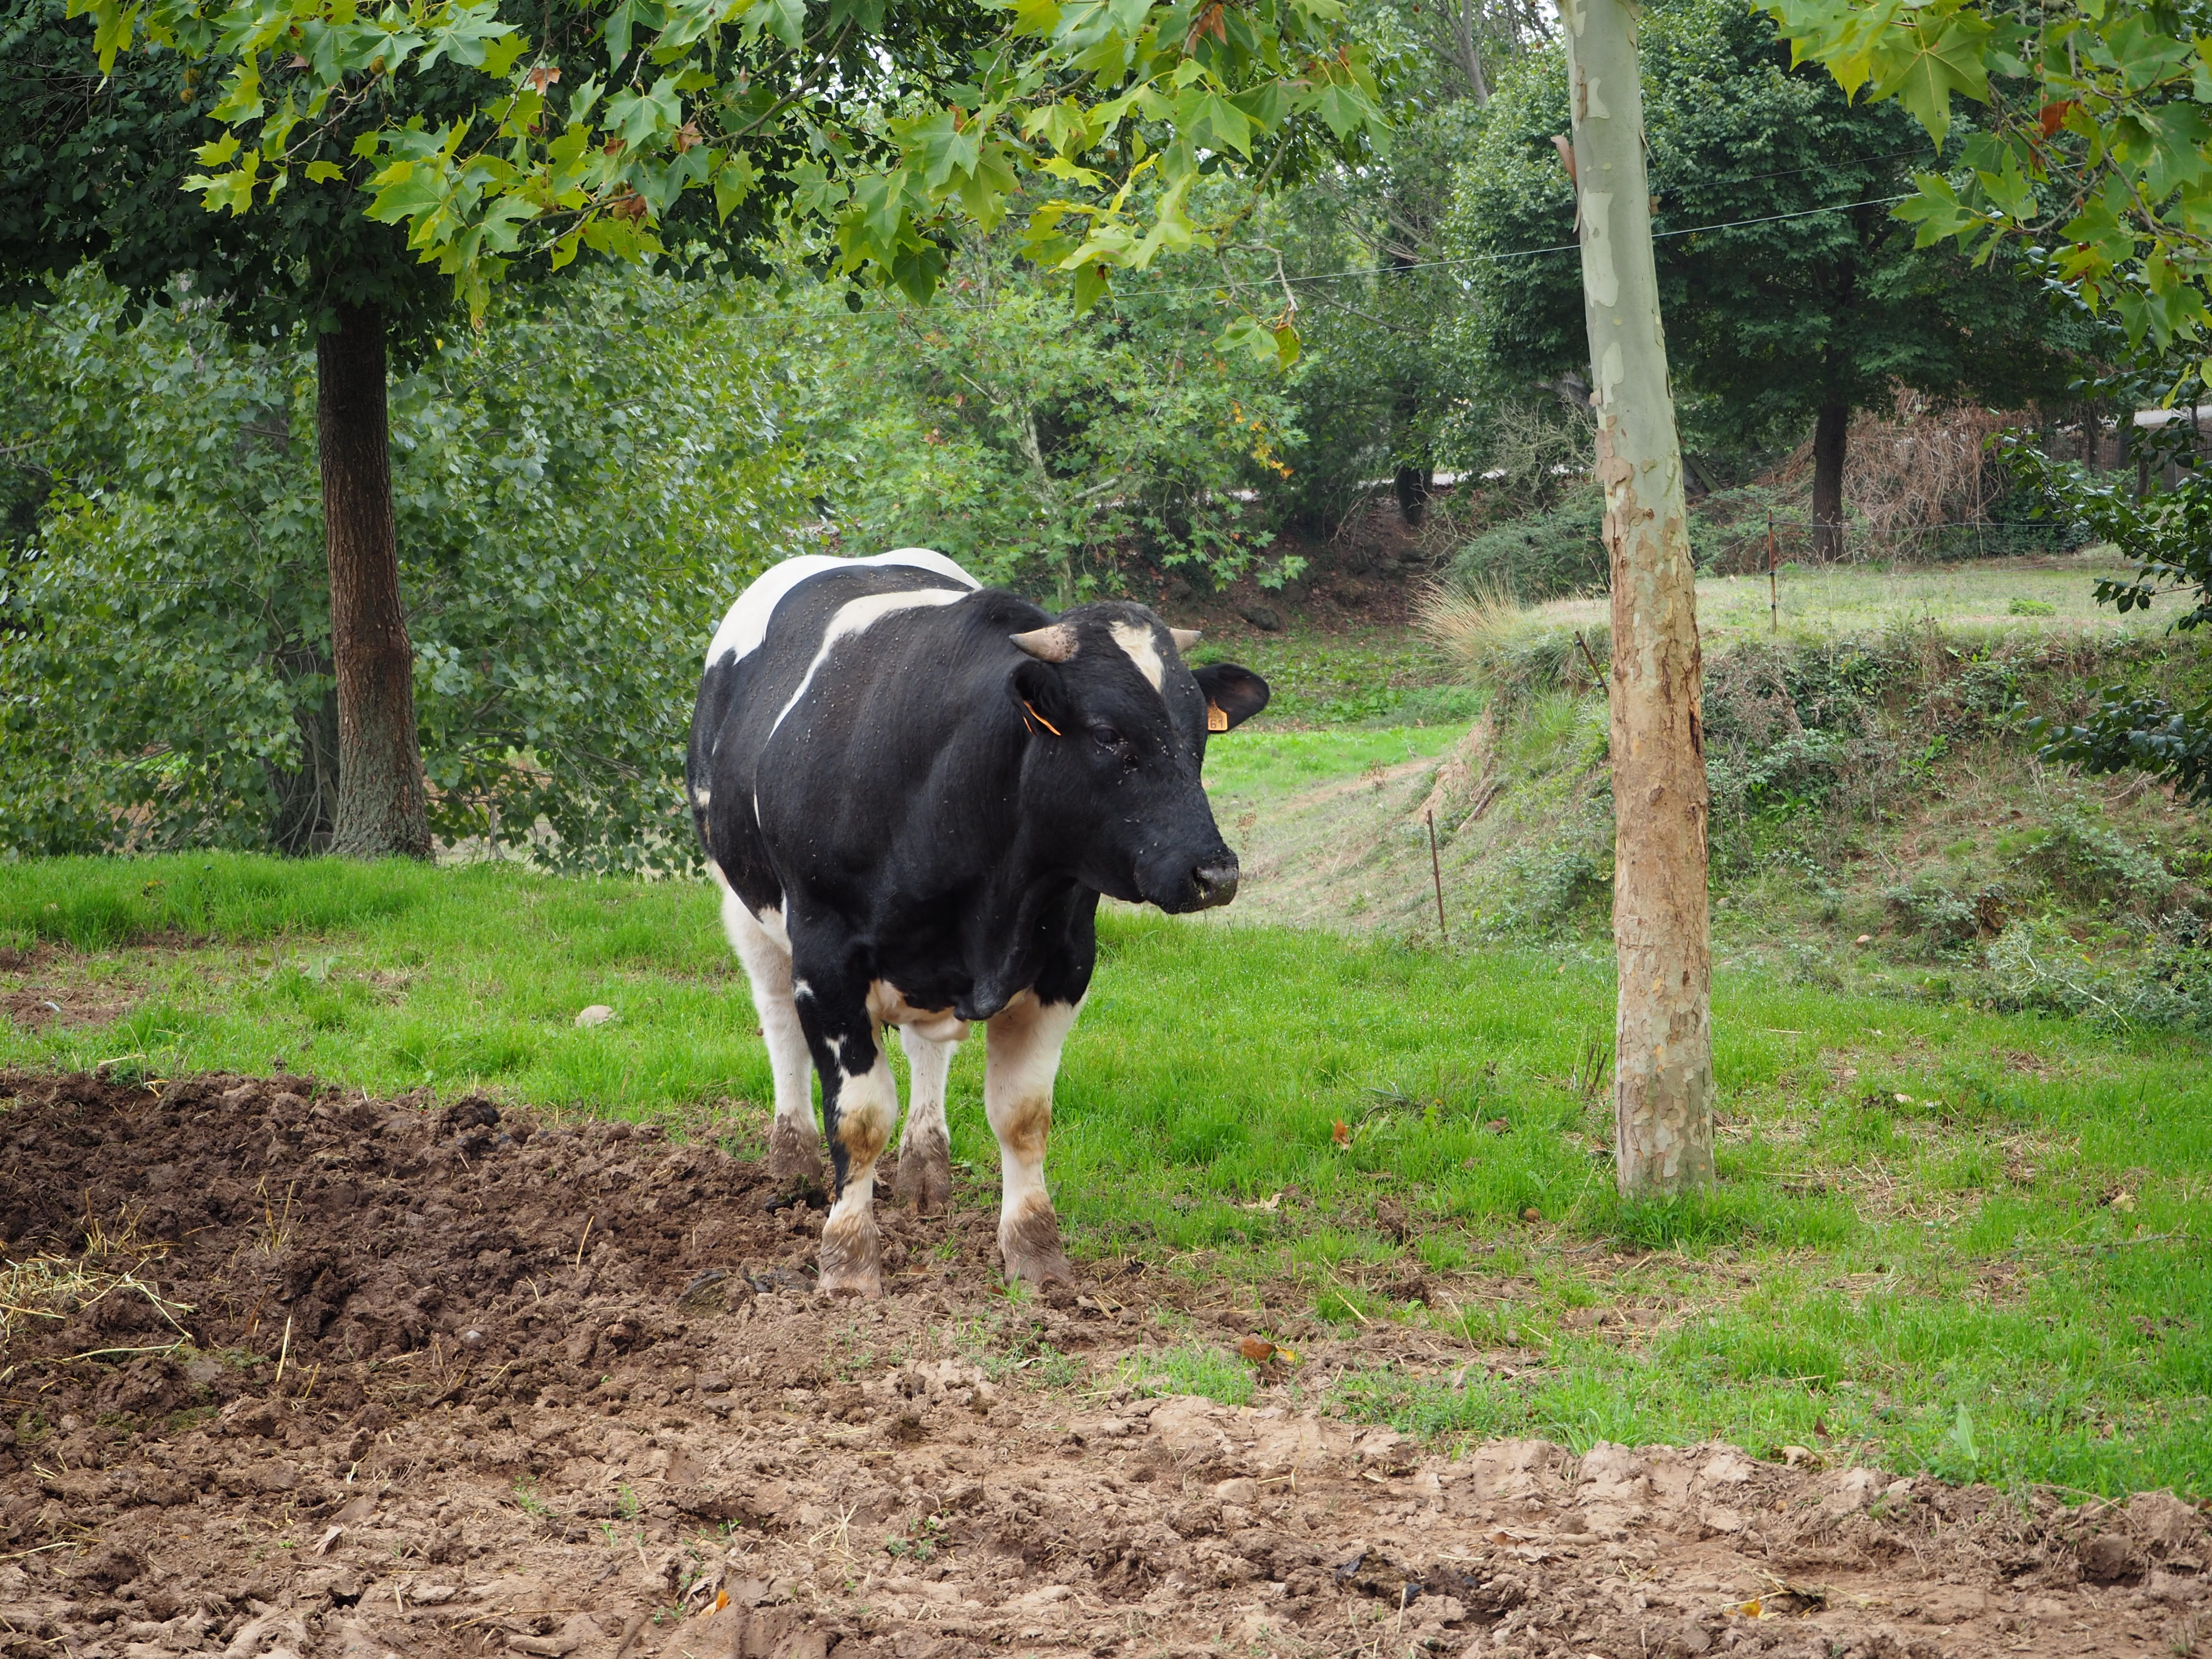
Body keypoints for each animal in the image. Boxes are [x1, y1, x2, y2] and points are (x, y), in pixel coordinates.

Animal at [688, 548, 1270, 1296]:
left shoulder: (1065, 962)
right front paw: (848, 1264)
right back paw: (792, 1163)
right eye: (1110, 735)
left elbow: (1023, 1118)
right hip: (746, 903)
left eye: (1199, 738)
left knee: (926, 1051)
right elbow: (858, 1119)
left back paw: (925, 1169)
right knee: (777, 1018)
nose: (1216, 874)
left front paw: (1036, 1256)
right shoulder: (827, 958)